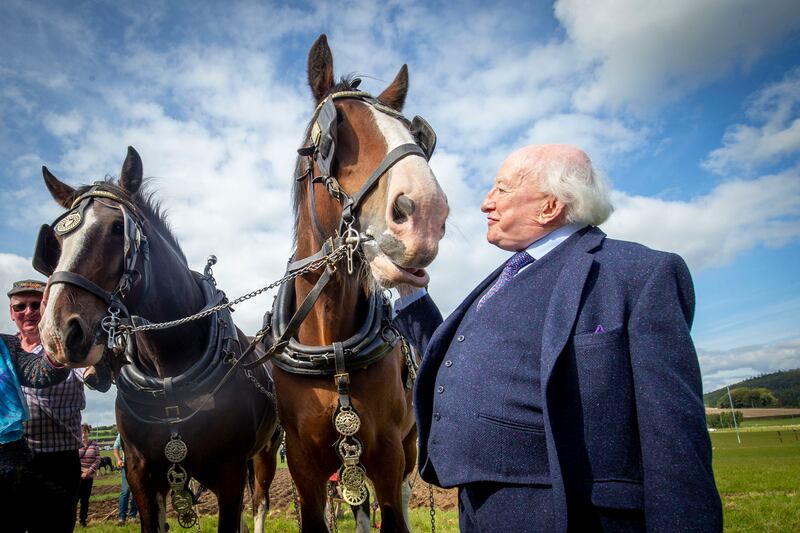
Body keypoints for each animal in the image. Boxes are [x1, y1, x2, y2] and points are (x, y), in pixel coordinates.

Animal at [34, 147, 282, 533]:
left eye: (117, 228)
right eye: (57, 243)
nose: (58, 332)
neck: (169, 371)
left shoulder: (229, 472)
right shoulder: (141, 475)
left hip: (266, 452)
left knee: (260, 503)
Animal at [263, 35, 448, 532]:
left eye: (419, 138)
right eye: (332, 135)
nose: (426, 213)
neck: (333, 347)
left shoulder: (387, 450)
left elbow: (392, 513)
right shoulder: (304, 462)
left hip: (406, 448)